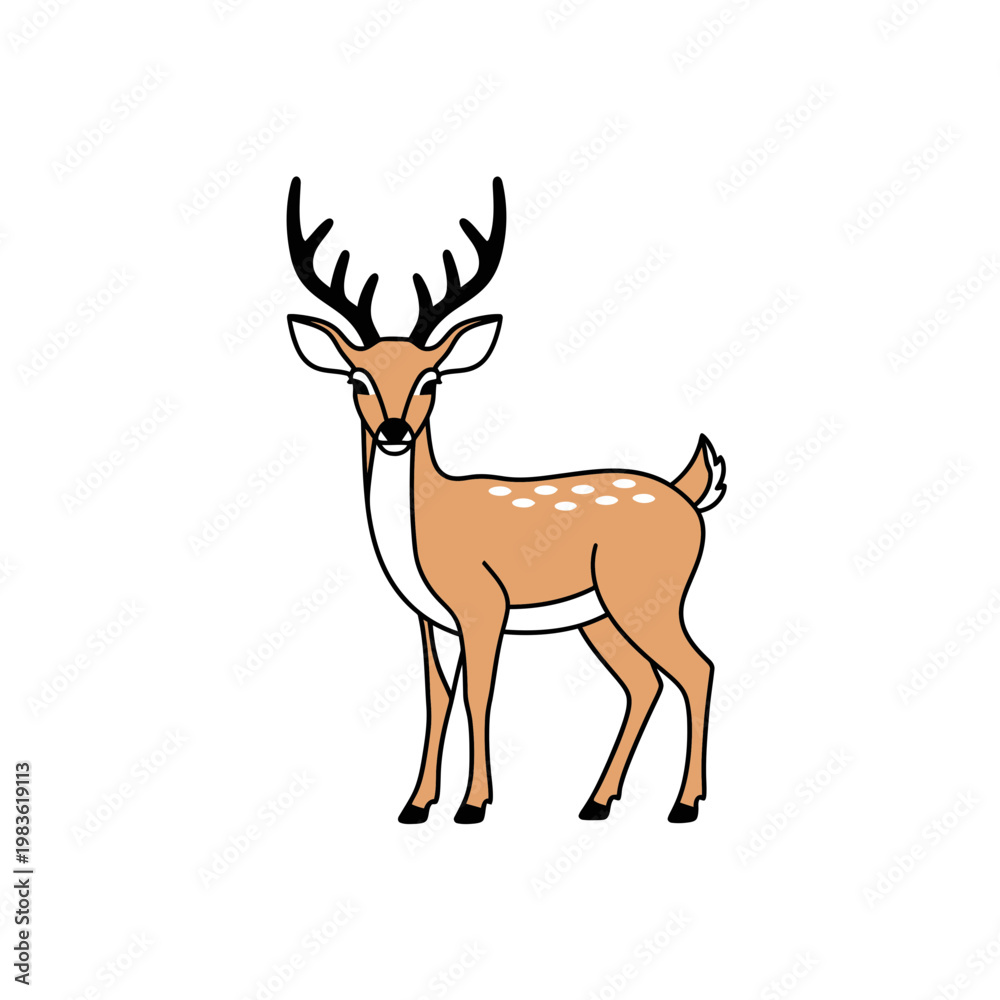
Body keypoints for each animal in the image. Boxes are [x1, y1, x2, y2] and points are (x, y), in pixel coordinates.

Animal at [285, 176, 726, 825]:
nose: (394, 431)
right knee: (643, 681)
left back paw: (685, 804)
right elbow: (437, 697)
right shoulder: (429, 616)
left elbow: (479, 695)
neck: (424, 530)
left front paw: (473, 805)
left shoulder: (483, 602)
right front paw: (416, 804)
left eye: (432, 379)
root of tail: (689, 494)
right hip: (601, 614)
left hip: (649, 592)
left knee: (696, 668)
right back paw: (597, 801)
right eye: (356, 379)